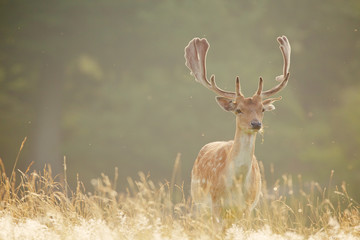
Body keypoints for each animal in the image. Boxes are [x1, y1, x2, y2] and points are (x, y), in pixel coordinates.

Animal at [184, 34, 292, 220]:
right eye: (239, 110)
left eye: (262, 109)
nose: (256, 123)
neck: (236, 184)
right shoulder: (215, 204)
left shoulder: (247, 208)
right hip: (199, 203)